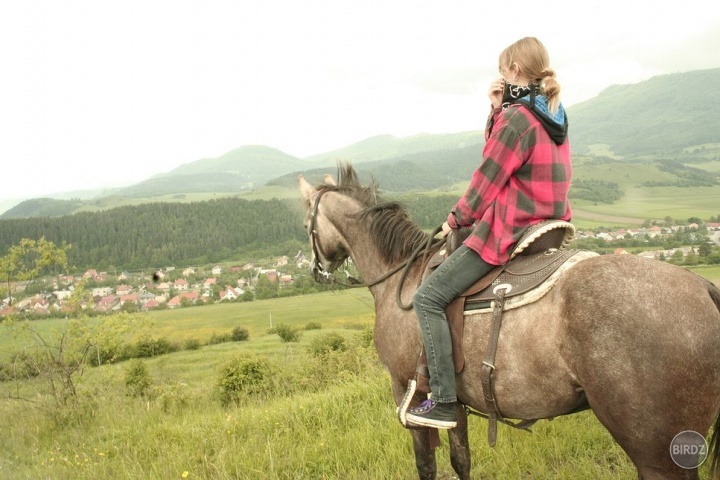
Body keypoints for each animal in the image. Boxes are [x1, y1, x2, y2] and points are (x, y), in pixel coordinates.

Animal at [296, 163, 720, 478]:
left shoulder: (406, 389)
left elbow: (426, 465)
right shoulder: (453, 403)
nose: (317, 270)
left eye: (305, 225)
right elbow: (461, 459)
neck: (403, 274)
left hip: (656, 453)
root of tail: (703, 288)